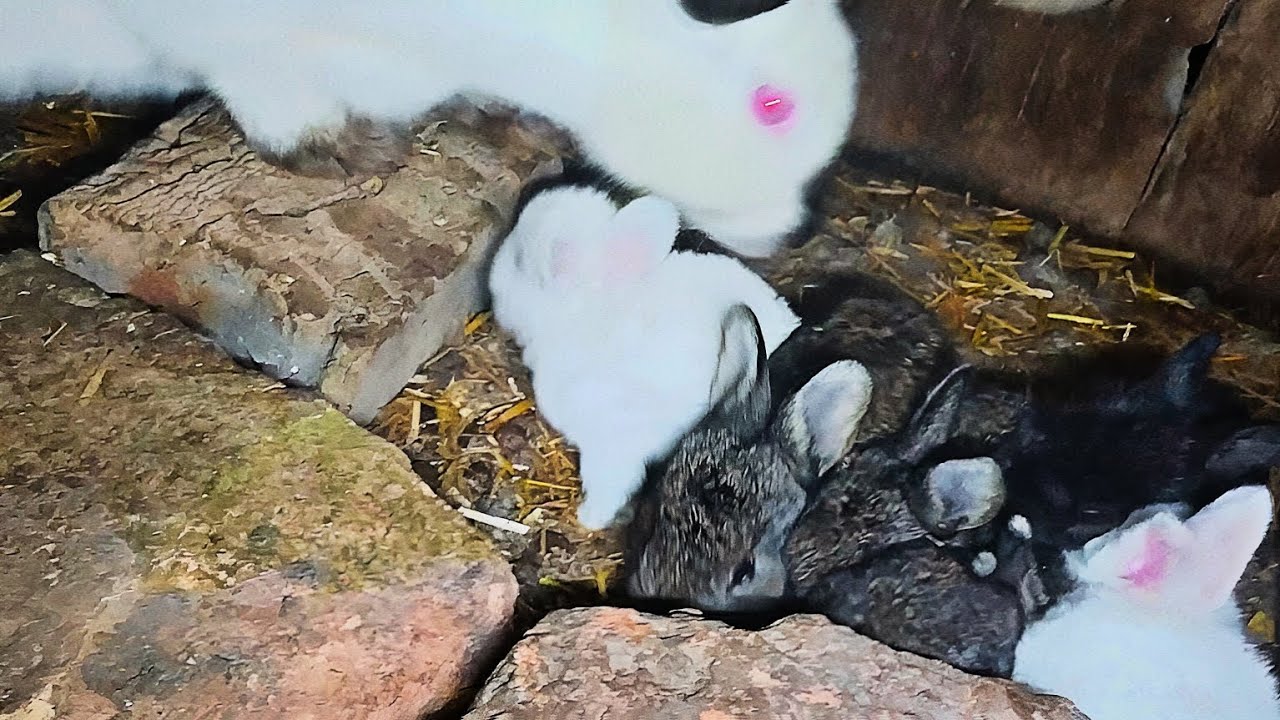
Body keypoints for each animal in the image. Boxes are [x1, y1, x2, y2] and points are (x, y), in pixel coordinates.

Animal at [488, 179, 800, 530]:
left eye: (518, 261)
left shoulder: (611, 443)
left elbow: (610, 485)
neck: (591, 311)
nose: (492, 276)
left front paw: (589, 519)